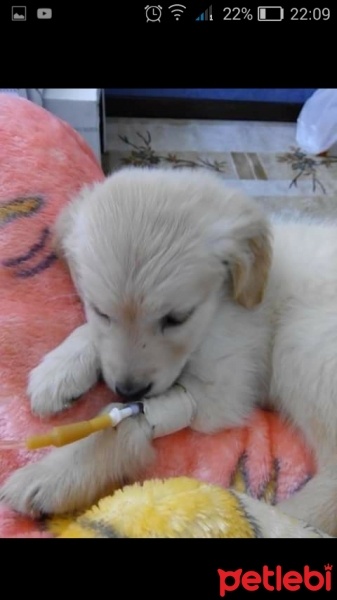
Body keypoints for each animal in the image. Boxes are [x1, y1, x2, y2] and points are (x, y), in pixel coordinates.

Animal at [0, 168, 336, 536]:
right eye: (101, 310)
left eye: (177, 318)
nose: (129, 389)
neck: (218, 308)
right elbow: (91, 335)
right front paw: (59, 371)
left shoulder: (225, 387)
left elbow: (124, 421)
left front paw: (55, 472)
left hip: (301, 342)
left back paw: (268, 516)